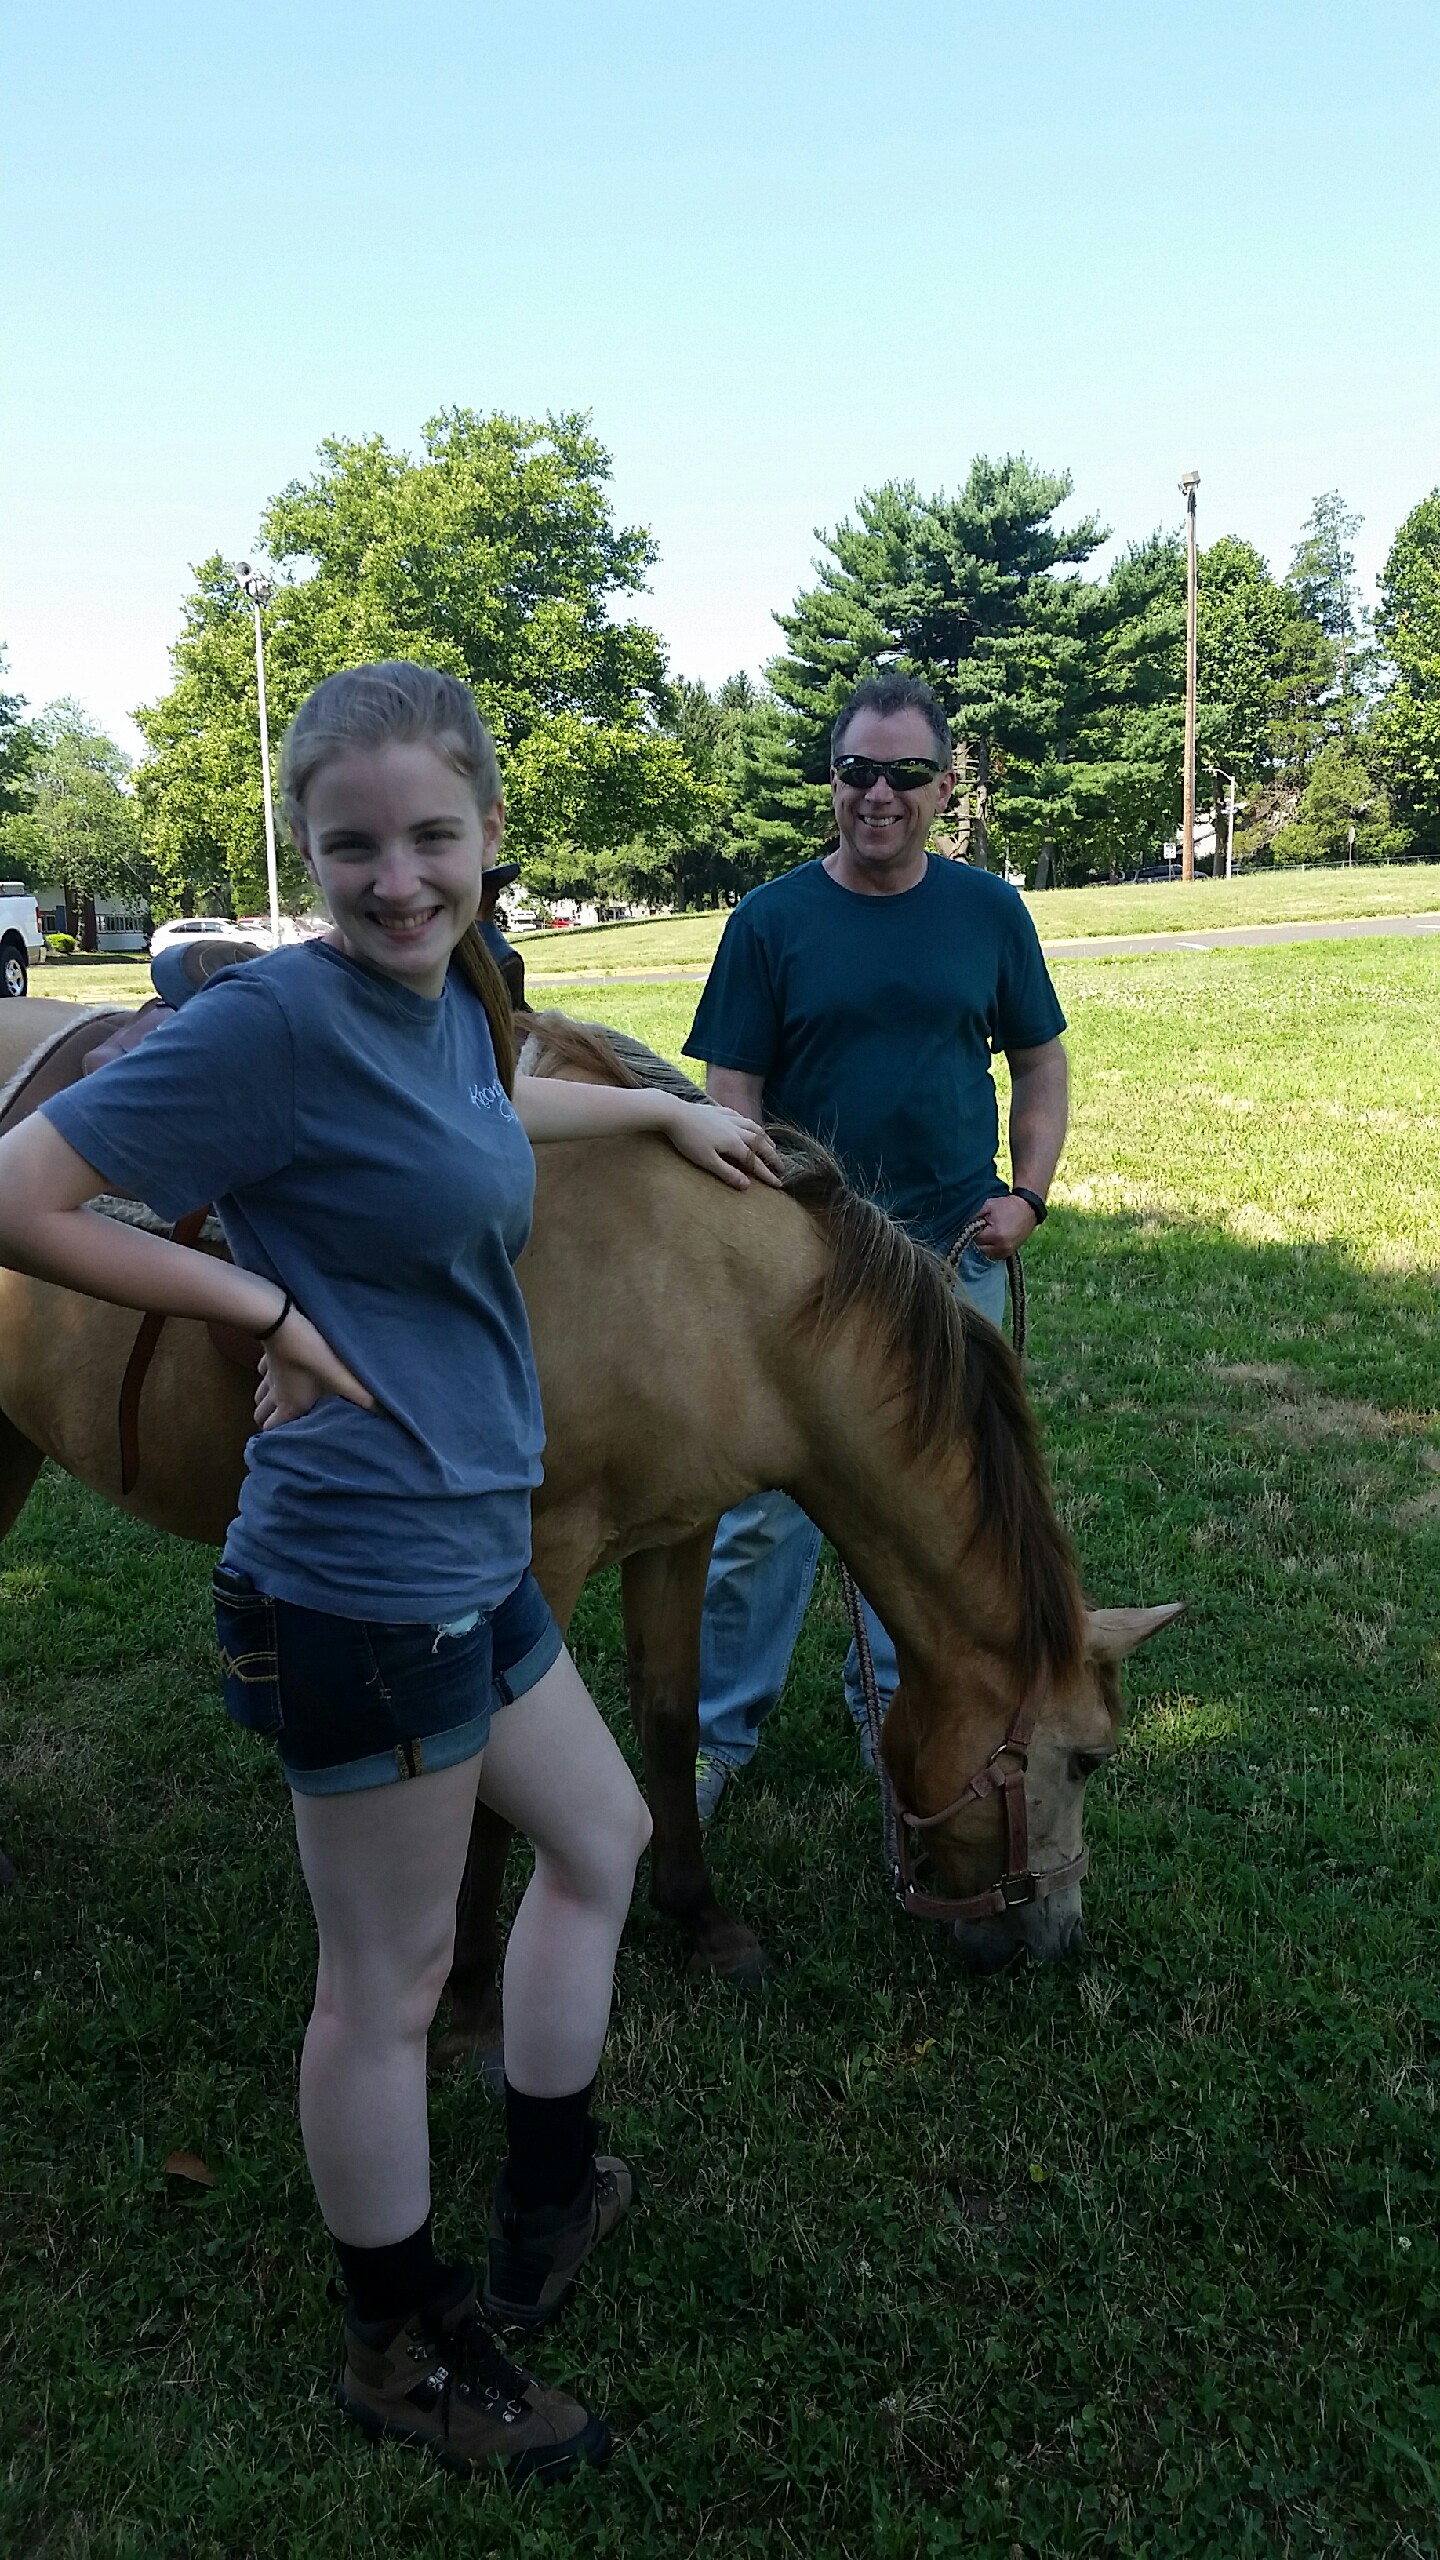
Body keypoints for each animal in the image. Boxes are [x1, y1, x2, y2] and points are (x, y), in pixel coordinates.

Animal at [0, 998, 1179, 2045]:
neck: (715, 1294)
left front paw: (699, 1917)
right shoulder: (535, 1562)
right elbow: (491, 1791)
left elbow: (669, 1717)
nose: (1057, 1940)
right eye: (1088, 1760)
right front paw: (471, 1994)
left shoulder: (679, 1531)